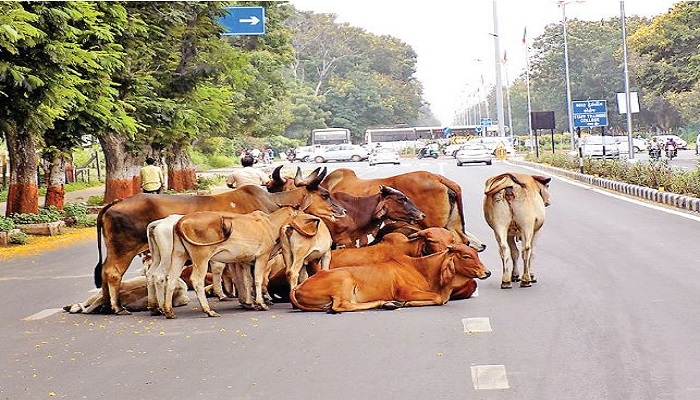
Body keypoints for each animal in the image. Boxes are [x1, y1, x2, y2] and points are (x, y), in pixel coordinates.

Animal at [93, 166, 344, 316]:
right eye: (324, 194)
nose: (340, 211)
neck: (272, 206)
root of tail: (114, 203)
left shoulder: (237, 256)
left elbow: (239, 277)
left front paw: (246, 301)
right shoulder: (253, 255)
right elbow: (252, 278)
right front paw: (257, 301)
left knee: (116, 272)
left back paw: (117, 306)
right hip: (124, 249)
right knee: (113, 273)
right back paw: (117, 307)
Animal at [288, 244, 490, 312]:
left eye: (475, 254)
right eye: (466, 256)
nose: (487, 272)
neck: (423, 269)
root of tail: (298, 287)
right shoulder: (406, 291)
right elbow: (438, 298)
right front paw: (406, 303)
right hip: (344, 281)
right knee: (341, 307)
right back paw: (386, 303)